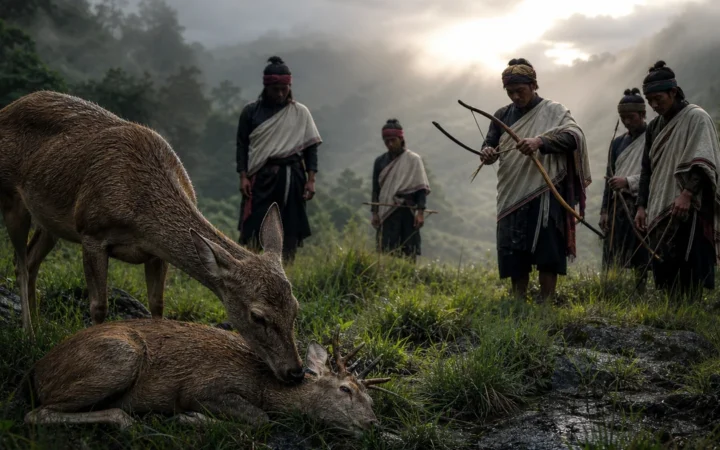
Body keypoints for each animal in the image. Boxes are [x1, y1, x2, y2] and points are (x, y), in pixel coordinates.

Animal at [0, 90, 304, 384]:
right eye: (258, 316)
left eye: (295, 307)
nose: (295, 371)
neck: (140, 209)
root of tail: (7, 108)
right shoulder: (91, 231)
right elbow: (99, 306)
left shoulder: (157, 253)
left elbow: (157, 306)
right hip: (12, 198)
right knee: (19, 263)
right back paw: (29, 334)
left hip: (50, 222)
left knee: (32, 260)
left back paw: (39, 325)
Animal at [22, 321, 391, 437]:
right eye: (345, 389)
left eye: (372, 399)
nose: (373, 424)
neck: (265, 385)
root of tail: (37, 371)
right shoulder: (203, 386)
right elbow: (261, 419)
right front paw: (190, 419)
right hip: (120, 358)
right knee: (36, 413)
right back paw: (130, 420)